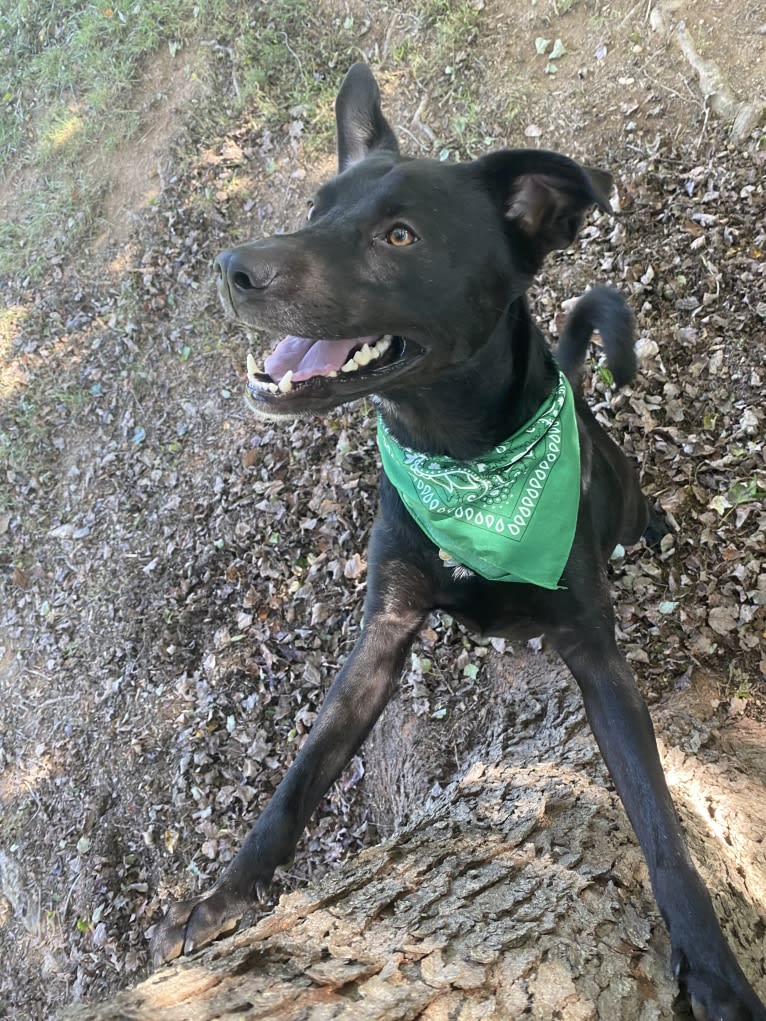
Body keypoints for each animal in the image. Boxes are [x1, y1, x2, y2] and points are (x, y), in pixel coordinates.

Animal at [151, 65, 766, 1021]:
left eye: (399, 235)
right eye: (316, 206)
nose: (233, 268)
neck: (463, 460)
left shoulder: (595, 653)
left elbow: (661, 824)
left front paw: (714, 970)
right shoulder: (383, 629)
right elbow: (300, 775)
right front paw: (221, 895)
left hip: (621, 488)